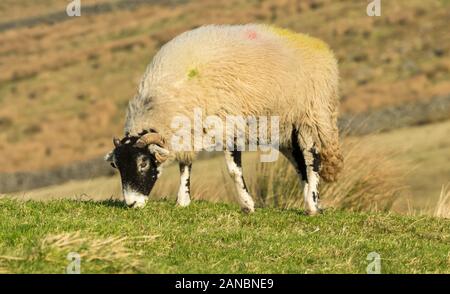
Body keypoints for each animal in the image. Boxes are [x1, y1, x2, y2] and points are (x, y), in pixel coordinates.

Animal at [106, 24, 344, 212]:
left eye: (143, 163)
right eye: (117, 166)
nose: (131, 204)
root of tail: (320, 47)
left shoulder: (230, 125)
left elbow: (233, 170)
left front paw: (248, 205)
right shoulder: (188, 130)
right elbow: (185, 165)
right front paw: (183, 201)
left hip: (310, 115)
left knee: (312, 158)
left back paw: (312, 205)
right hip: (283, 129)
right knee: (299, 163)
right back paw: (312, 202)